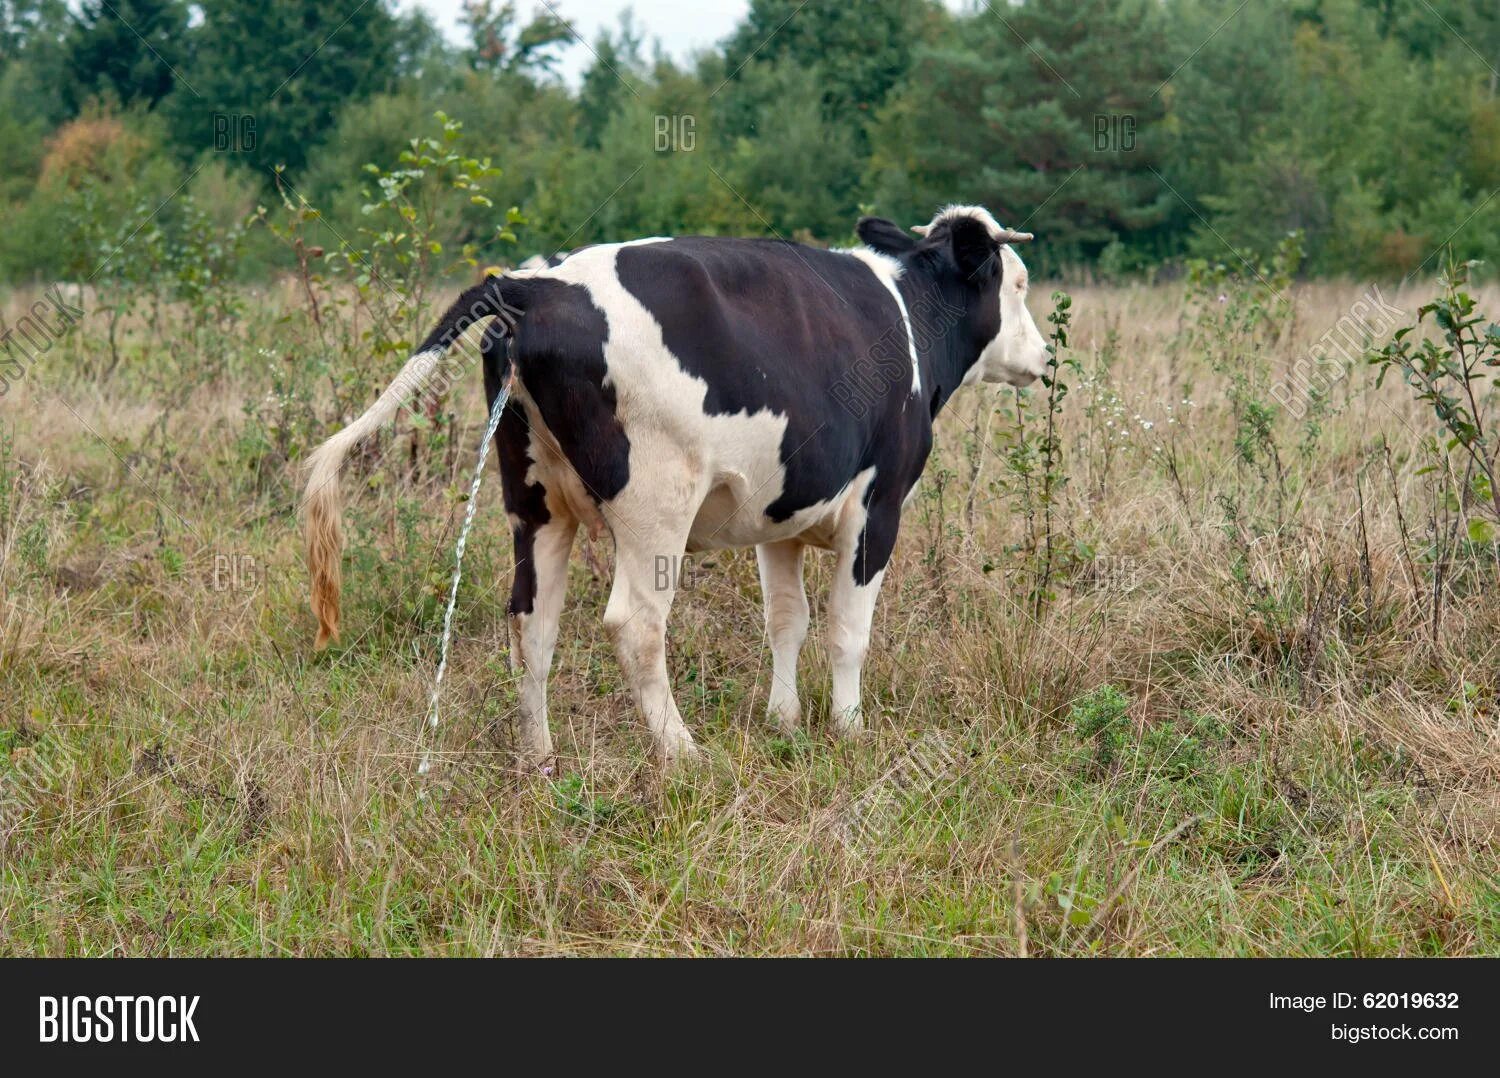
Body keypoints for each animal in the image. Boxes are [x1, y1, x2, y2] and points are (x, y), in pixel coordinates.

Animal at [306, 203, 1050, 767]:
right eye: (1015, 285)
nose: (1043, 355)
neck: (909, 320)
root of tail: (538, 284)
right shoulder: (878, 506)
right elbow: (846, 628)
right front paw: (849, 728)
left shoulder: (779, 514)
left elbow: (787, 620)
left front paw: (784, 719)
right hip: (655, 505)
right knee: (635, 625)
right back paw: (682, 751)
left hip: (534, 502)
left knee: (531, 620)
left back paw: (538, 756)